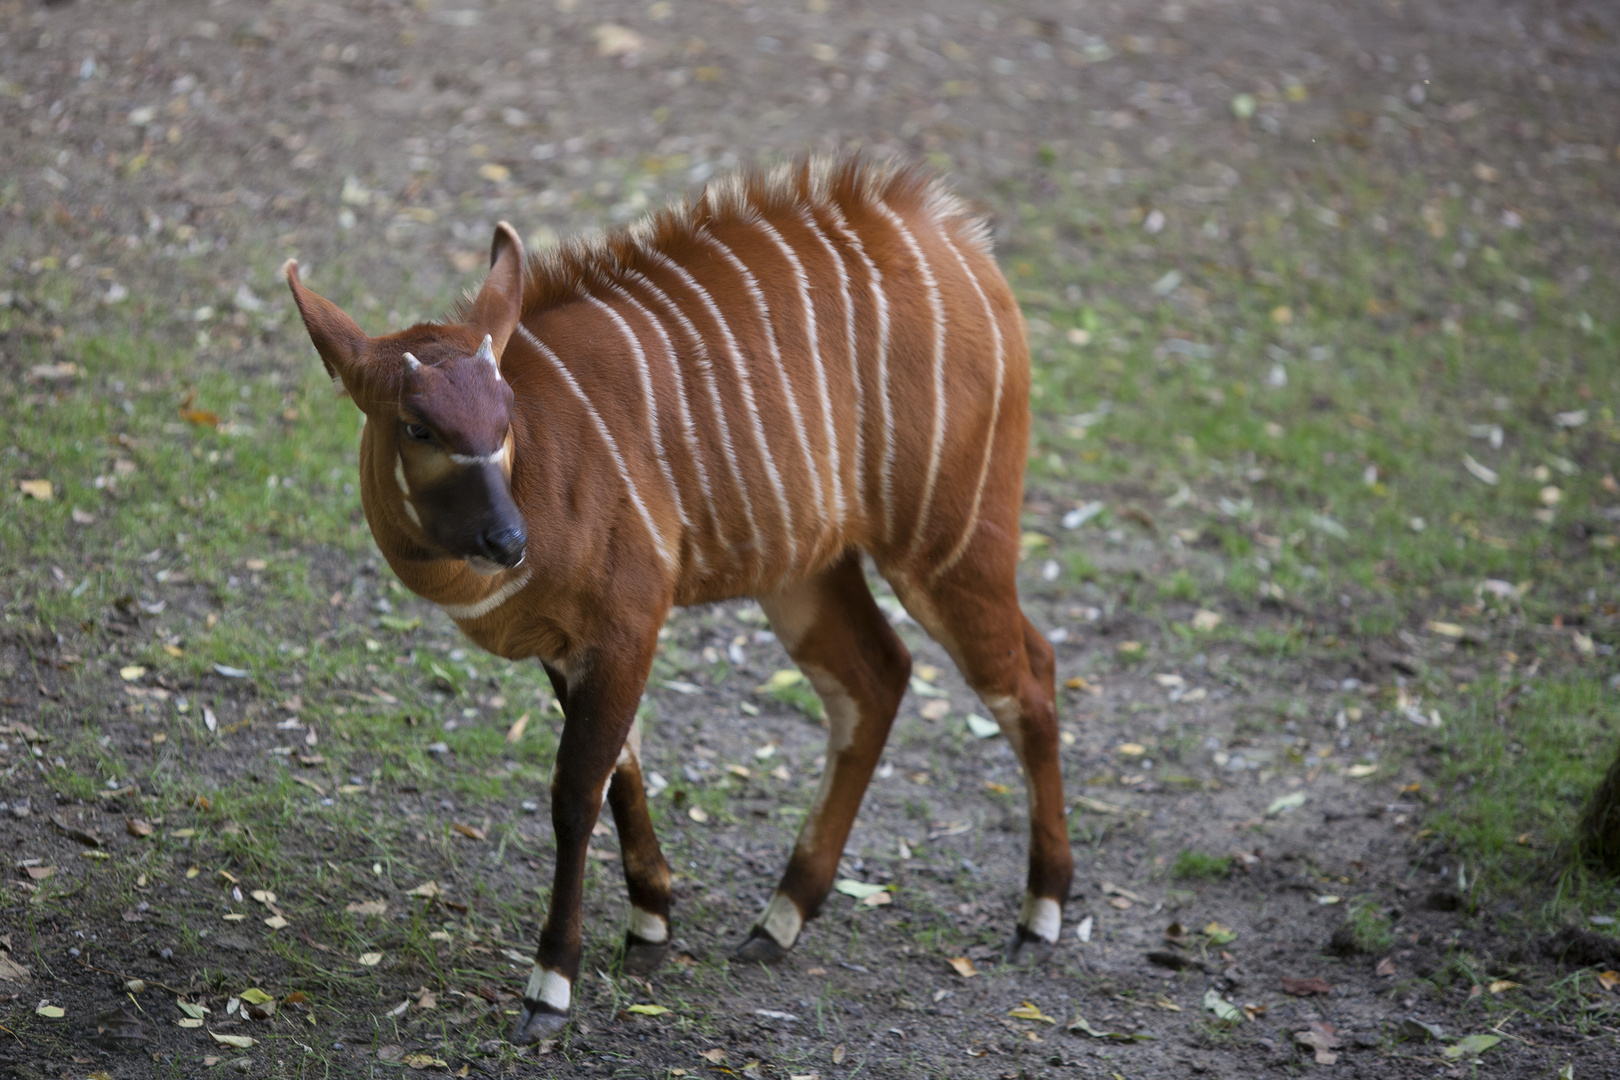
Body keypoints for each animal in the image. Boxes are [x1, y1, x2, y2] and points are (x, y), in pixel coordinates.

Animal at [288, 156, 1075, 1042]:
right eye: (418, 426)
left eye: (506, 415)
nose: (507, 540)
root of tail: (960, 242)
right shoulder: (572, 647)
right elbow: (621, 769)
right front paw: (651, 927)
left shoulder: (628, 625)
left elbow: (575, 792)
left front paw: (550, 987)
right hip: (804, 570)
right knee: (876, 677)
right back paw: (781, 918)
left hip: (948, 543)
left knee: (1027, 672)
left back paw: (1040, 913)